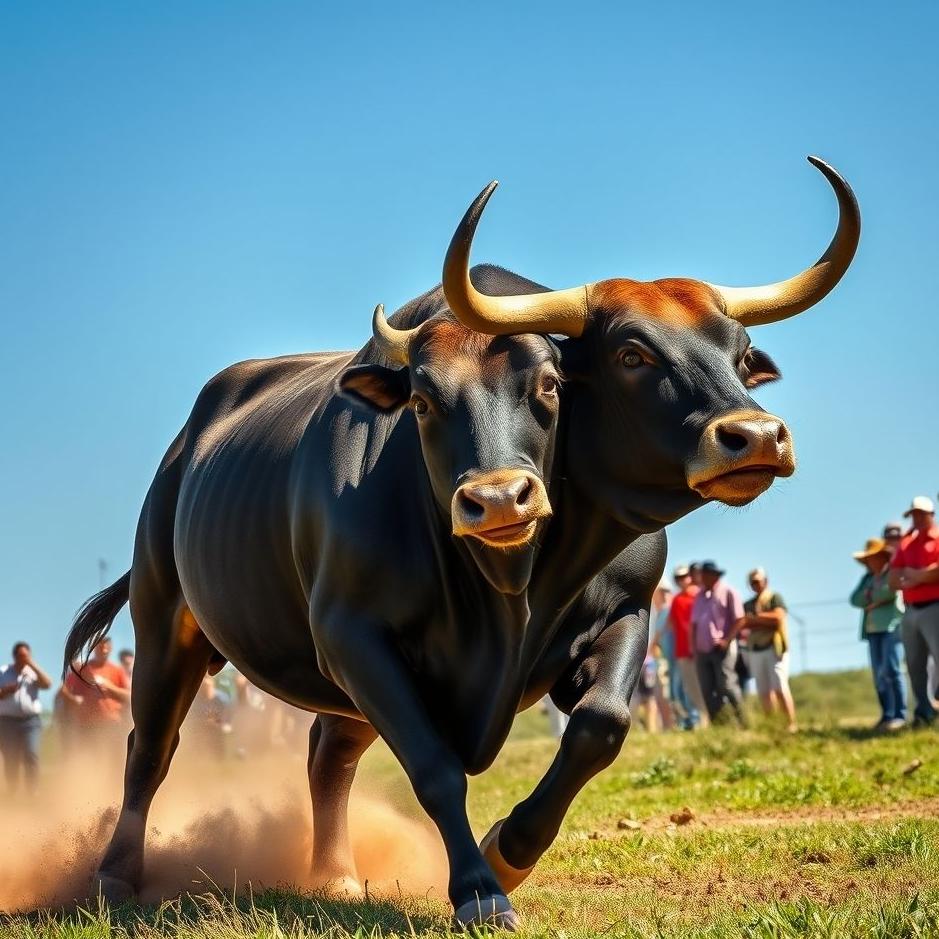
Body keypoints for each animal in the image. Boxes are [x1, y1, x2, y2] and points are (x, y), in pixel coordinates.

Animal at [65, 157, 858, 931]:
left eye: (549, 384)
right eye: (631, 353)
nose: (755, 435)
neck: (511, 587)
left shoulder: (628, 609)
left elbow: (600, 725)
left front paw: (509, 851)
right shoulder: (354, 636)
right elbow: (435, 766)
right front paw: (479, 889)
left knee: (326, 756)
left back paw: (335, 875)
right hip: (166, 622)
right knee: (150, 750)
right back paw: (115, 876)